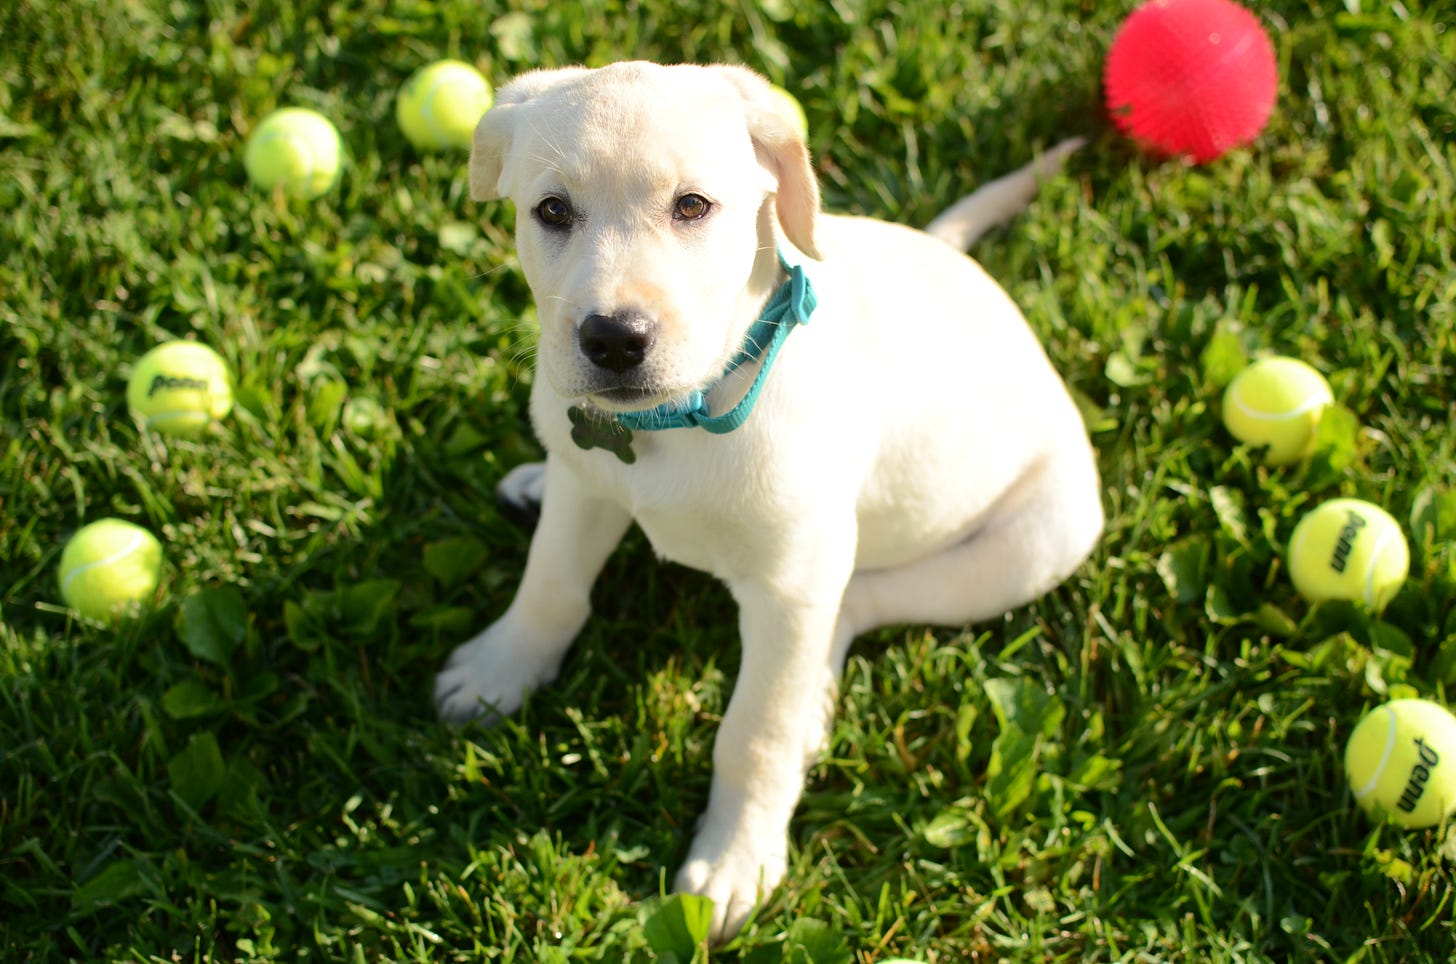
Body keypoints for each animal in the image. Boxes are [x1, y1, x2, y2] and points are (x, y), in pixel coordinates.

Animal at [439, 62, 1100, 943]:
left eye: (692, 206)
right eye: (552, 211)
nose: (614, 339)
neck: (682, 414)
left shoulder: (790, 589)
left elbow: (755, 733)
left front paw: (735, 860)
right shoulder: (587, 483)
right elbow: (549, 588)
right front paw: (498, 672)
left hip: (1033, 544)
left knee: (859, 603)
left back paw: (817, 694)